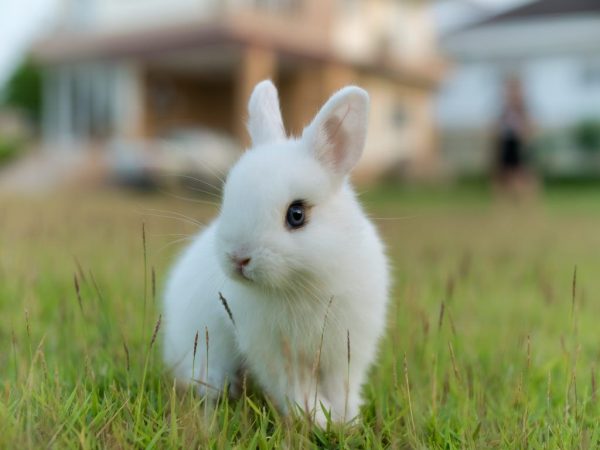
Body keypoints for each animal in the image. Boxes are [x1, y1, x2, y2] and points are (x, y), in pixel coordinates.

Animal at [164, 80, 390, 426]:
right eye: (227, 198)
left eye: (296, 214)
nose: (238, 258)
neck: (303, 284)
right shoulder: (276, 354)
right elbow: (297, 388)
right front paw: (318, 419)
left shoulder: (347, 349)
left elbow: (343, 386)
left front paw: (346, 420)